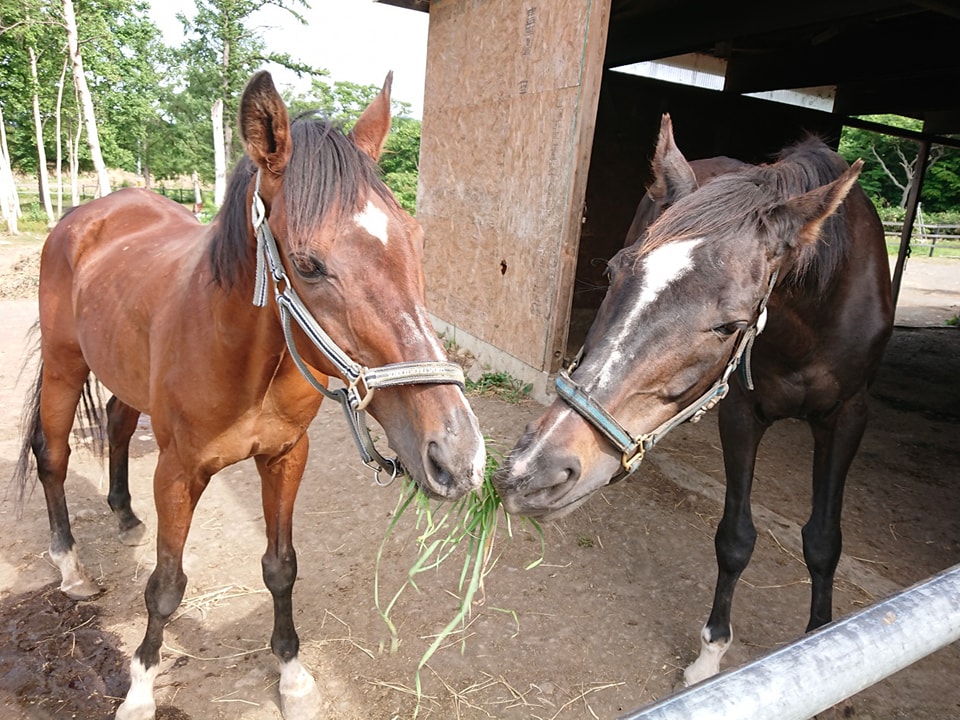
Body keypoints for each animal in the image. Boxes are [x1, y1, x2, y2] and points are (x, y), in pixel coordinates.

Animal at [12, 69, 484, 720]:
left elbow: (281, 568)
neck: (242, 358)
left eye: (415, 241)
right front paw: (140, 689)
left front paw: (292, 676)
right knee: (52, 455)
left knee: (116, 422)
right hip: (64, 365)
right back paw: (71, 566)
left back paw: (124, 514)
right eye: (308, 264)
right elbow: (165, 587)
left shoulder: (286, 457)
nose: (458, 457)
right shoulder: (177, 472)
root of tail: (91, 213)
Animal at [496, 114, 892, 688]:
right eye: (613, 272)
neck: (820, 307)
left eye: (730, 325)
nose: (533, 472)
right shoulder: (742, 411)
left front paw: (823, 640)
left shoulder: (848, 417)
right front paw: (710, 656)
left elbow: (823, 540)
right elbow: (735, 537)